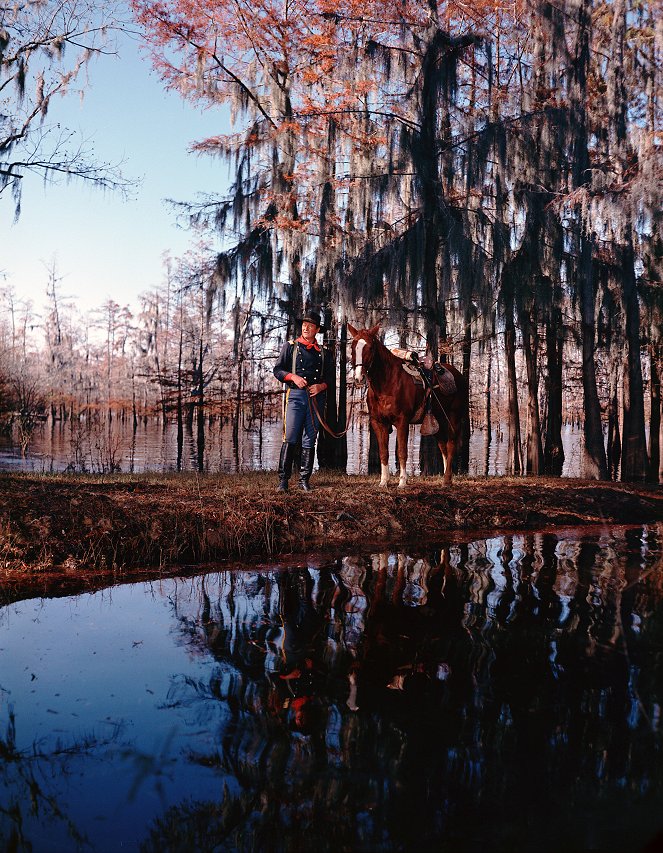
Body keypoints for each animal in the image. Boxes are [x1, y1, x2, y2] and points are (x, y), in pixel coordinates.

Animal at [350, 322, 470, 490]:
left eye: (371, 347)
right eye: (353, 346)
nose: (358, 377)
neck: (387, 383)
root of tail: (458, 375)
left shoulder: (402, 421)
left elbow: (402, 451)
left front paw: (402, 482)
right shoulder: (378, 422)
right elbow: (383, 452)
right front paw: (383, 481)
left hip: (454, 417)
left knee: (451, 444)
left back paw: (446, 480)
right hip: (437, 420)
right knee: (443, 447)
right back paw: (449, 478)